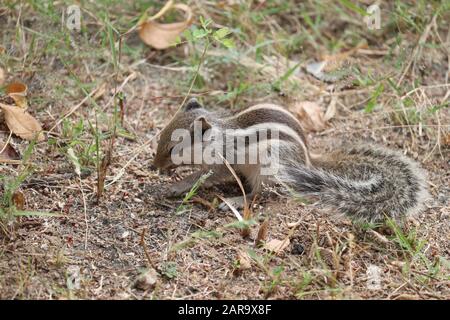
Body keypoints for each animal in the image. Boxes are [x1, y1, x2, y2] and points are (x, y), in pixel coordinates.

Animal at [154, 99, 428, 221]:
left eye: (172, 148)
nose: (154, 166)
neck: (218, 136)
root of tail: (308, 159)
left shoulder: (222, 163)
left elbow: (203, 176)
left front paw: (176, 185)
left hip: (268, 167)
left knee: (258, 194)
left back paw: (234, 200)